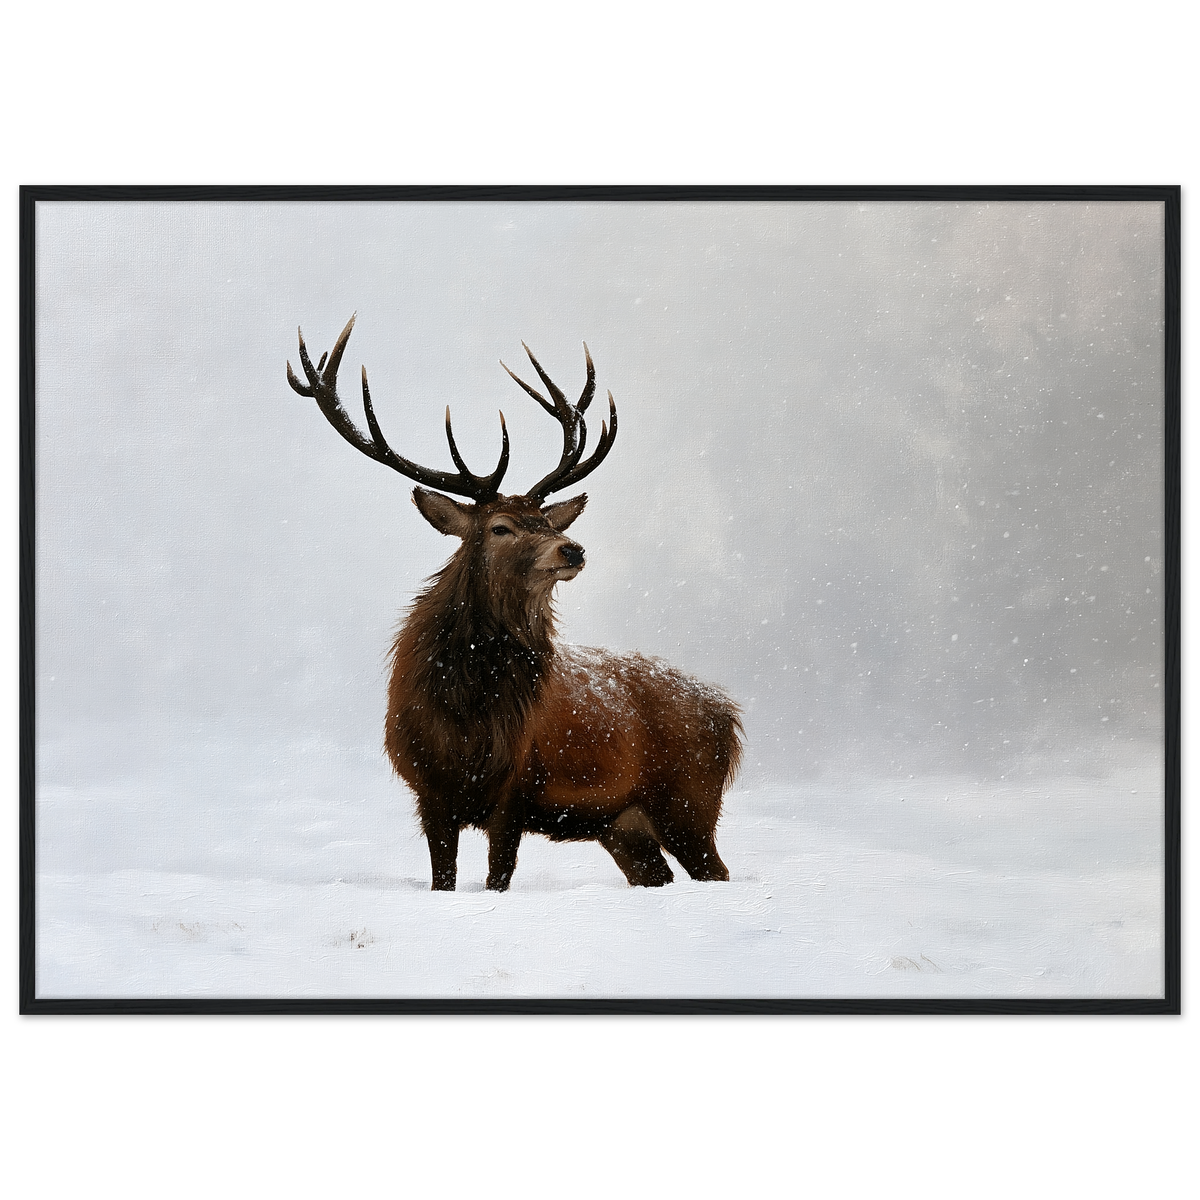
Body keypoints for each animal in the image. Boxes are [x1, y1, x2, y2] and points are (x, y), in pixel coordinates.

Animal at [287, 314, 743, 892]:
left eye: (547, 520)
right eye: (500, 527)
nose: (571, 548)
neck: (466, 718)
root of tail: (728, 713)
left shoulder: (517, 790)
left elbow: (497, 877)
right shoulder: (428, 790)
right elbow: (443, 880)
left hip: (690, 801)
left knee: (718, 871)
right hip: (623, 824)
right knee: (658, 874)